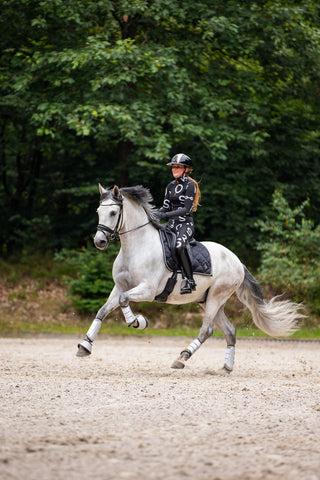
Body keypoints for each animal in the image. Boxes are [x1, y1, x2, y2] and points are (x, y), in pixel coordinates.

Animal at [76, 184, 304, 372]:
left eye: (114, 212)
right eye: (98, 211)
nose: (99, 241)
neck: (136, 247)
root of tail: (237, 261)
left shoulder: (147, 289)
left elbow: (124, 301)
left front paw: (138, 322)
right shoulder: (120, 286)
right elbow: (103, 310)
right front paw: (85, 346)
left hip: (216, 297)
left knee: (207, 330)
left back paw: (182, 359)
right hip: (208, 300)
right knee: (230, 331)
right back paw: (226, 367)